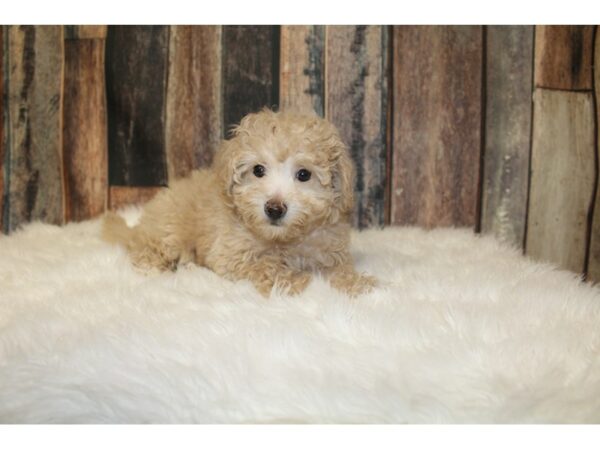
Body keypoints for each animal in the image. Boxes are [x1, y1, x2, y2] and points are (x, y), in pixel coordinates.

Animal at [102, 109, 376, 298]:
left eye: (304, 174)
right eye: (258, 170)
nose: (274, 208)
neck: (283, 240)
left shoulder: (329, 250)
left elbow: (338, 270)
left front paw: (357, 285)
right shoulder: (231, 254)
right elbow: (265, 265)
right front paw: (297, 282)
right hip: (168, 232)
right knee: (147, 251)